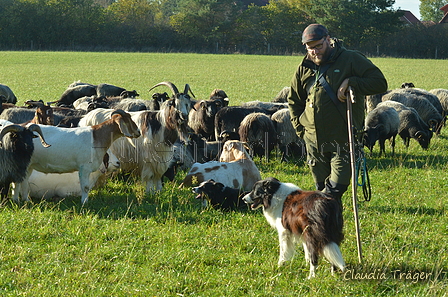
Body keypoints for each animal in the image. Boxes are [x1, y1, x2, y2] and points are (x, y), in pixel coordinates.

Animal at [11, 108, 140, 204]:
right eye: (128, 120)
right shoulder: (84, 167)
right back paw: (17, 200)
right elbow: (85, 187)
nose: (138, 132)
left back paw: (24, 200)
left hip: (29, 165)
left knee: (23, 181)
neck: (96, 136)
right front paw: (84, 203)